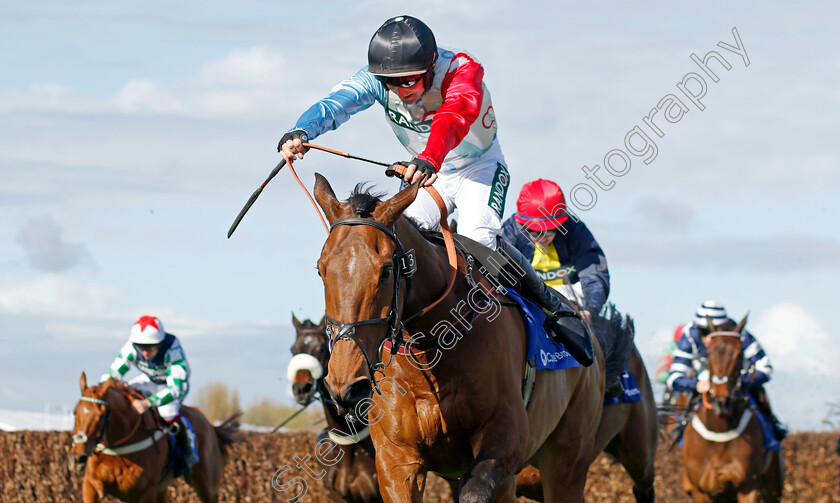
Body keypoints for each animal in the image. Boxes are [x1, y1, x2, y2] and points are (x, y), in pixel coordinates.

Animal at [68, 372, 240, 502]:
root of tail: (211, 426)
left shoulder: (145, 491)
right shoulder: (91, 484)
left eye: (101, 415)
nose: (78, 457)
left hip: (205, 484)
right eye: (75, 412)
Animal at [310, 175, 632, 502]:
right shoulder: (396, 460)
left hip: (566, 463)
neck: (432, 352)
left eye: (386, 270)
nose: (345, 385)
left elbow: (474, 491)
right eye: (321, 269)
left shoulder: (505, 440)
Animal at [680, 316, 784, 502]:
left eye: (739, 353)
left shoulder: (748, 487)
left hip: (772, 488)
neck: (719, 432)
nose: (722, 401)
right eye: (710, 352)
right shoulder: (700, 491)